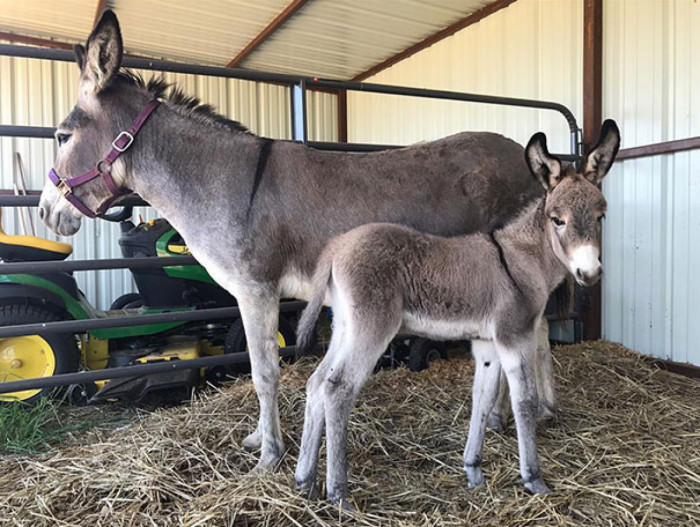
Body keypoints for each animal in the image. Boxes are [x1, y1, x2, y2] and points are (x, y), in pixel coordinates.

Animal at [292, 121, 620, 506]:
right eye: (558, 220)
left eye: (601, 216)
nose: (589, 273)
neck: (521, 259)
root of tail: (337, 246)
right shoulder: (515, 336)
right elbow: (524, 401)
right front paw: (534, 479)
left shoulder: (488, 345)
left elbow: (482, 398)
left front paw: (473, 470)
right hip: (372, 328)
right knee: (338, 389)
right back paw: (338, 492)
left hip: (345, 327)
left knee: (317, 383)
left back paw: (305, 480)